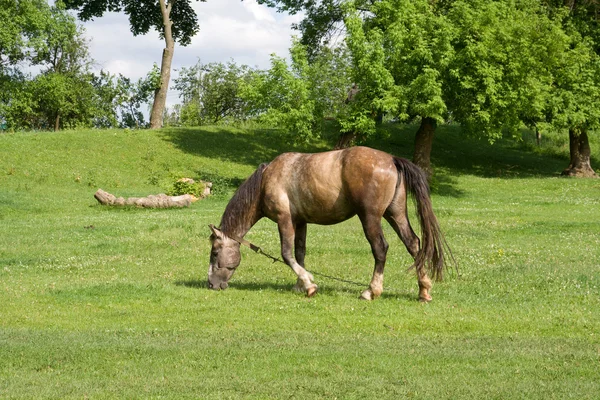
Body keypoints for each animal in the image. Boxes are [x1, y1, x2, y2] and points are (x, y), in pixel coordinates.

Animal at [210, 145, 450, 302]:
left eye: (214, 253)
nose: (211, 284)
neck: (266, 180)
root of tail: (391, 159)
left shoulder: (284, 219)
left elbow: (286, 253)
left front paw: (309, 285)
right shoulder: (300, 222)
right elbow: (299, 253)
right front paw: (300, 283)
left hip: (370, 217)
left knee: (380, 249)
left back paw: (370, 291)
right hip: (396, 214)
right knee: (414, 244)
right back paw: (423, 290)